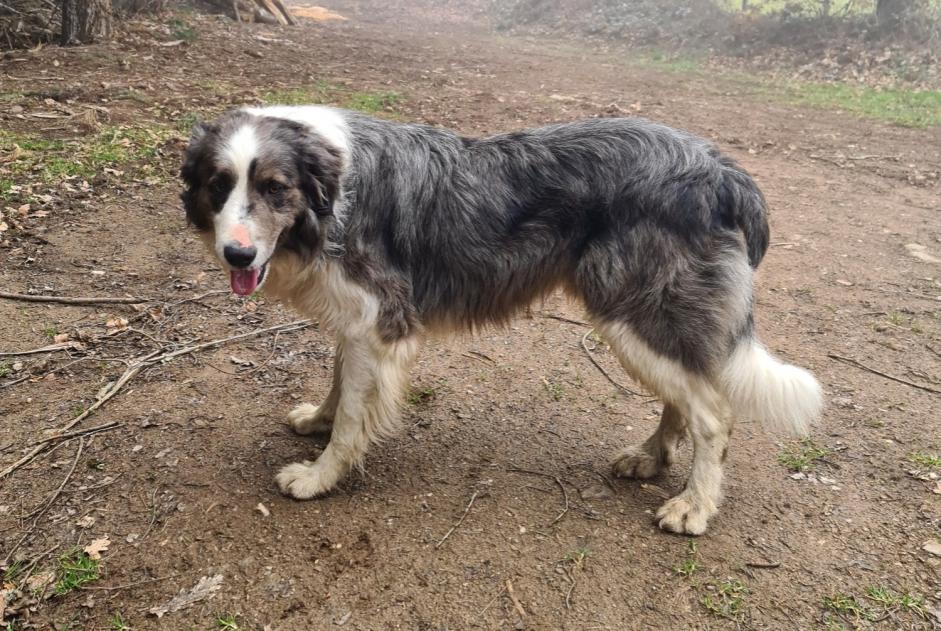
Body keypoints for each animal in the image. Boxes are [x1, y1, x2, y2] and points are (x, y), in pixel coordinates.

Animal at [180, 106, 820, 536]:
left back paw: (693, 505)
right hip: (645, 321)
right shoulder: (359, 323)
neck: (330, 190)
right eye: (218, 185)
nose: (236, 256)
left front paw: (319, 478)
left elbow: (353, 421)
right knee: (684, 396)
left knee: (713, 413)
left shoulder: (380, 319)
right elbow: (340, 384)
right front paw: (320, 418)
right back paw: (651, 458)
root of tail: (721, 169)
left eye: (275, 188)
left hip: (634, 313)